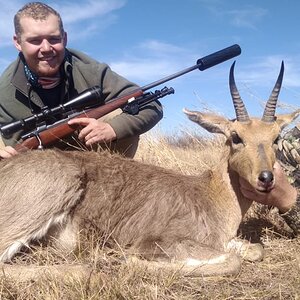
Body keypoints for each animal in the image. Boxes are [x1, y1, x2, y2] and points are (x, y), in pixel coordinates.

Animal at [0, 61, 298, 278]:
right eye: (236, 137)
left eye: (276, 138)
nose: (266, 179)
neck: (211, 195)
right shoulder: (159, 242)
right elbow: (233, 260)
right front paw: (130, 261)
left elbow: (254, 250)